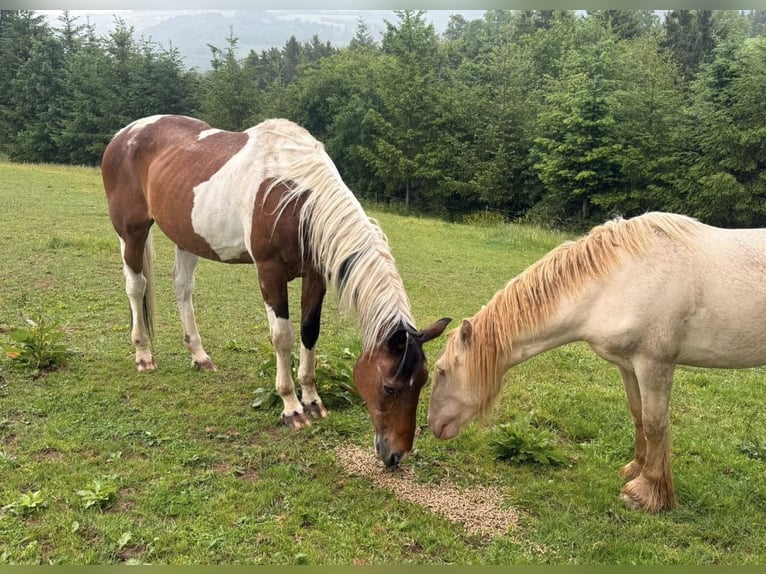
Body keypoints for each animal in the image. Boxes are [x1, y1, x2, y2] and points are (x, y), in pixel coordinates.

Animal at [101, 114, 450, 467]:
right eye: (390, 387)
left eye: (422, 381)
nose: (396, 455)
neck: (295, 197)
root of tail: (124, 134)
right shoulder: (270, 273)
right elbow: (282, 337)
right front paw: (292, 407)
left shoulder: (316, 276)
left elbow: (310, 332)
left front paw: (312, 399)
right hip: (131, 232)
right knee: (136, 287)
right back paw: (143, 355)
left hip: (186, 237)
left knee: (183, 289)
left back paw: (200, 357)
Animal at [427, 211, 766, 512]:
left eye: (441, 371)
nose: (433, 426)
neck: (618, 279)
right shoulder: (628, 365)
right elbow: (638, 415)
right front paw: (635, 469)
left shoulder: (654, 364)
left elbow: (655, 423)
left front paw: (645, 493)